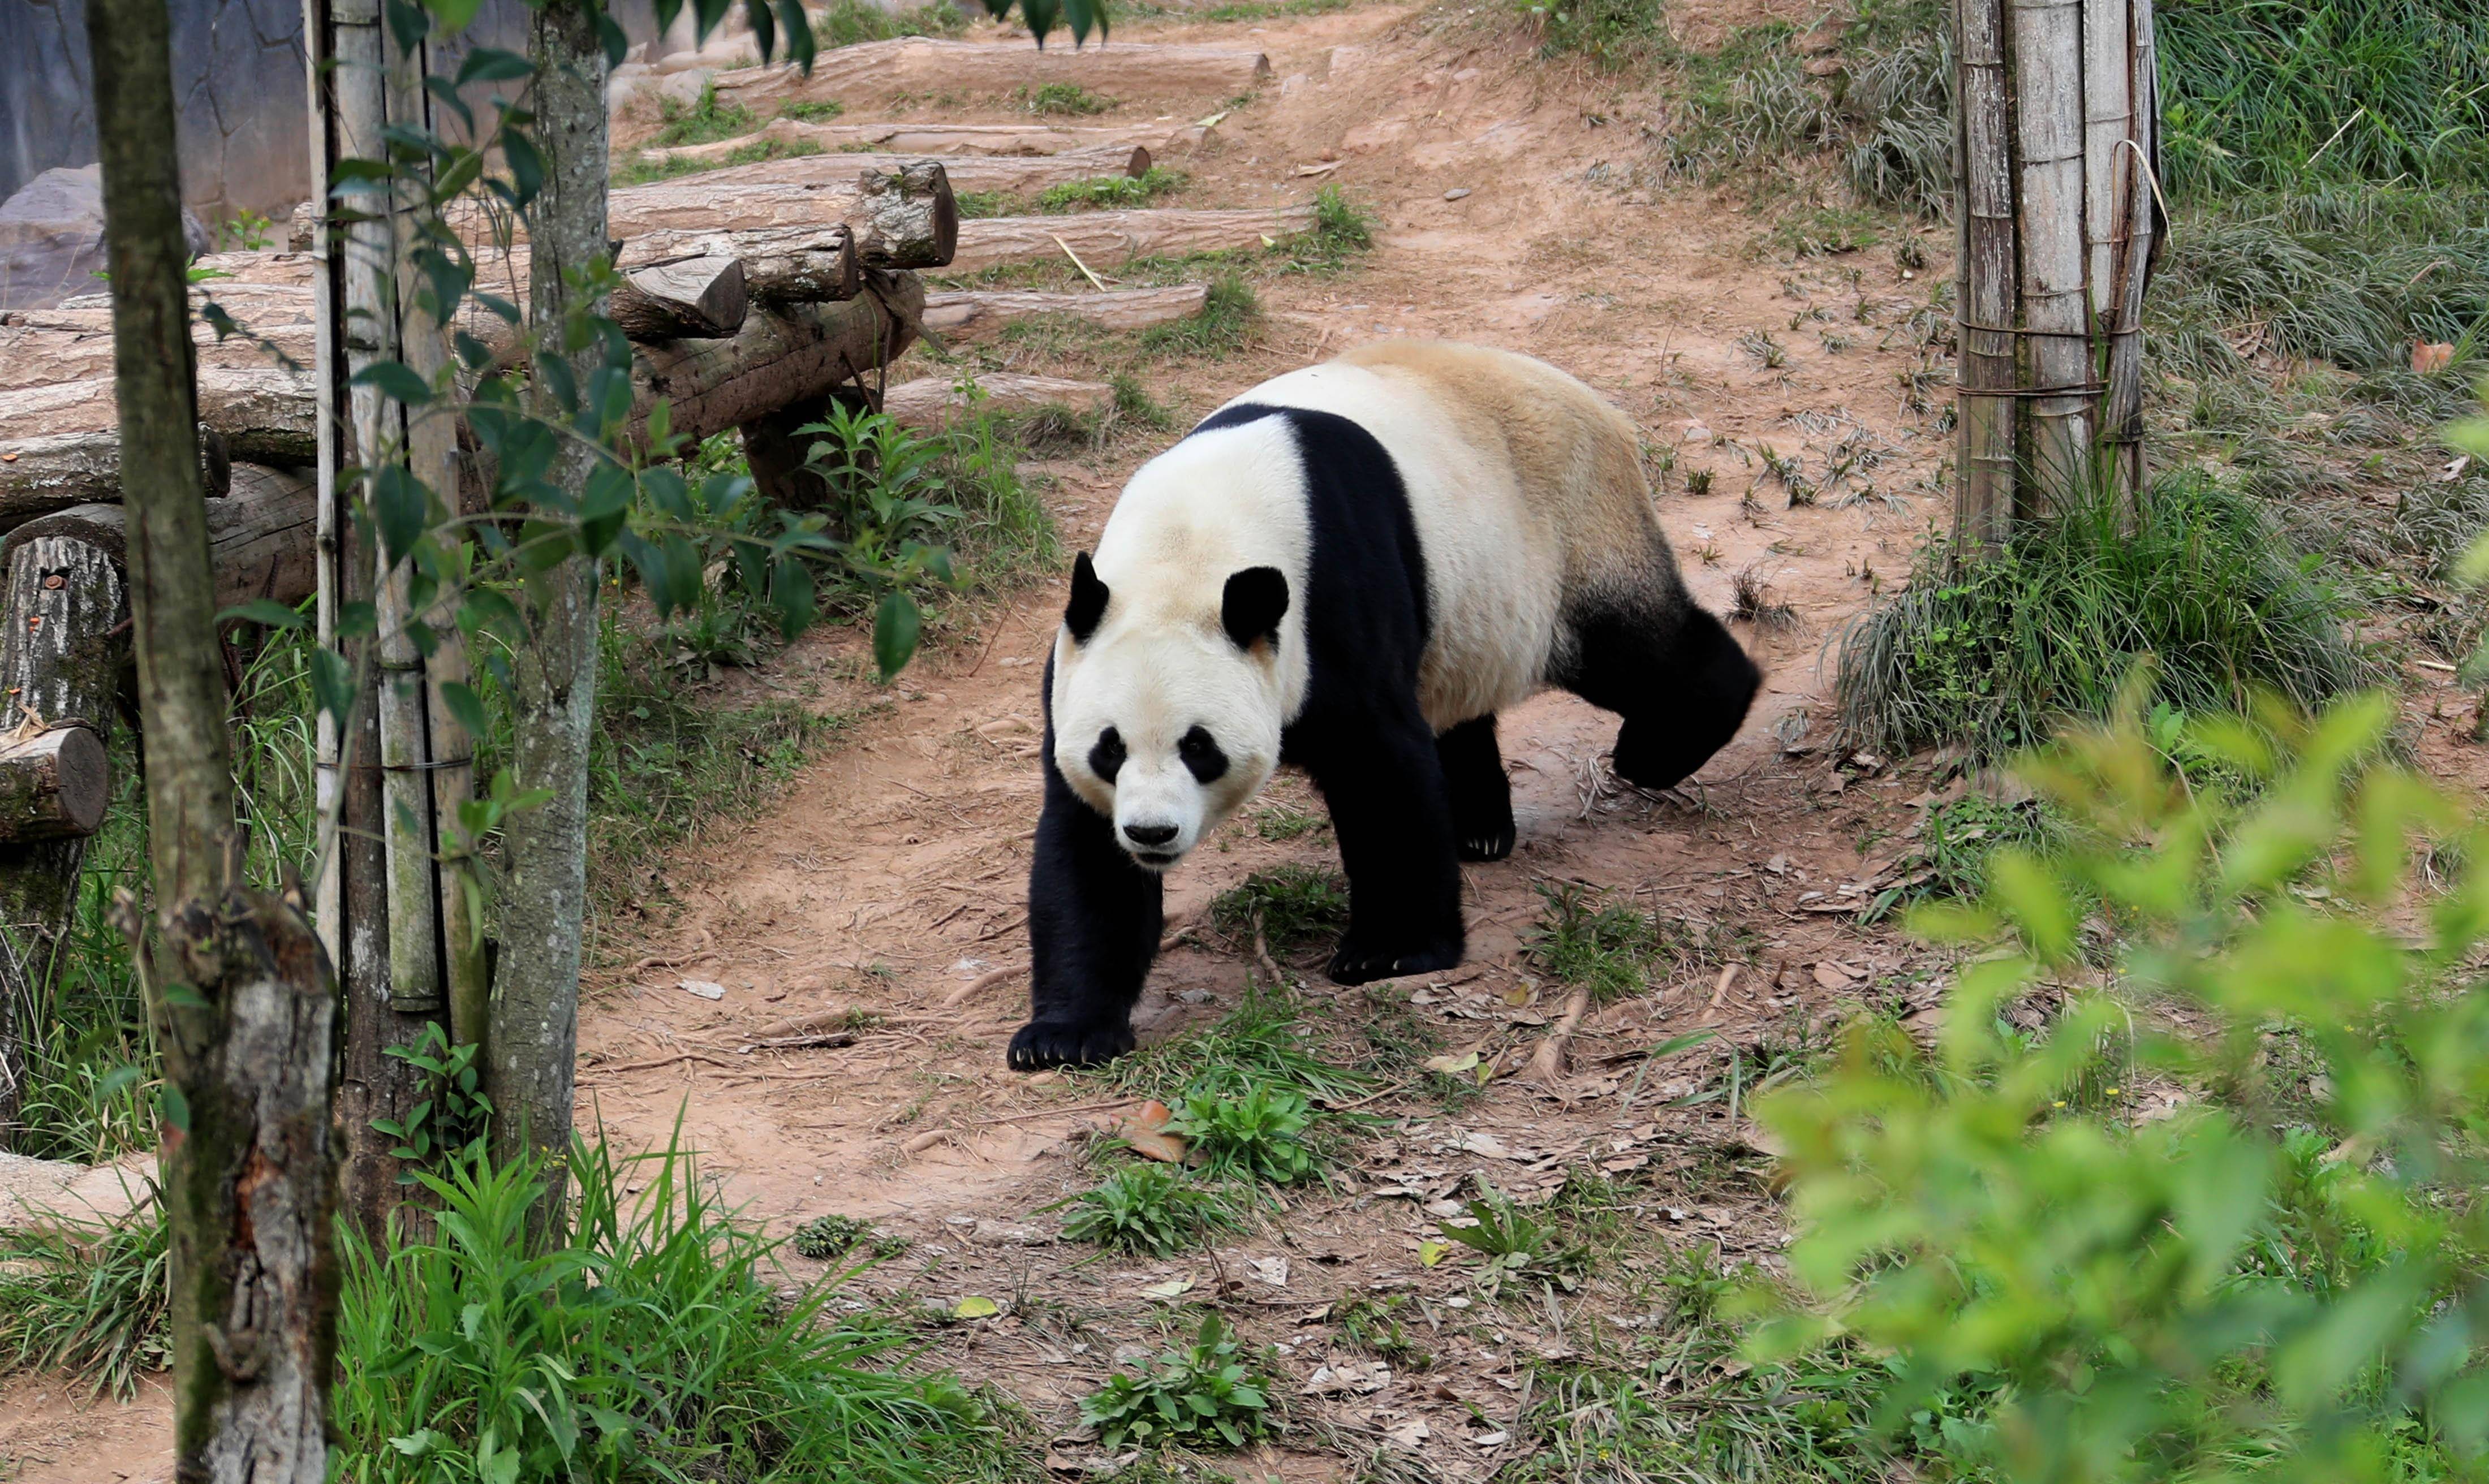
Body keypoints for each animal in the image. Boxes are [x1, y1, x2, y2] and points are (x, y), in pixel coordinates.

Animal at [1000, 341, 1762, 1071]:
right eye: (1110, 748)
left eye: (1198, 746)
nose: (1151, 833)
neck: (1188, 544)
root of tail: (1595, 404)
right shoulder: (1077, 661)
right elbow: (1082, 848)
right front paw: (1063, 1035)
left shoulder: (1329, 601)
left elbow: (1379, 767)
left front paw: (1390, 951)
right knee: (1460, 707)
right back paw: (1479, 828)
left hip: (1567, 531)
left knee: (1635, 649)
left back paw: (1658, 748)